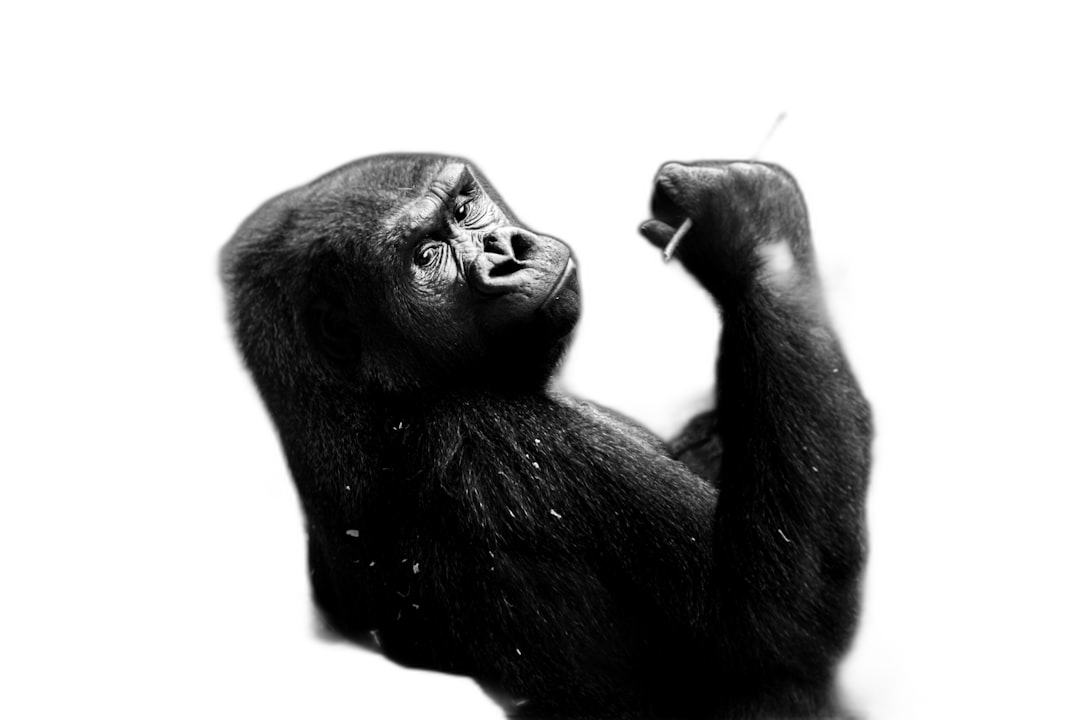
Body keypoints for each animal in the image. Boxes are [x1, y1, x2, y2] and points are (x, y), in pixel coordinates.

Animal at [217, 156, 868, 720]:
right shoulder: (493, 437)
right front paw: (750, 233)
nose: (506, 254)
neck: (363, 401)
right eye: (426, 255)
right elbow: (769, 625)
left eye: (463, 208)